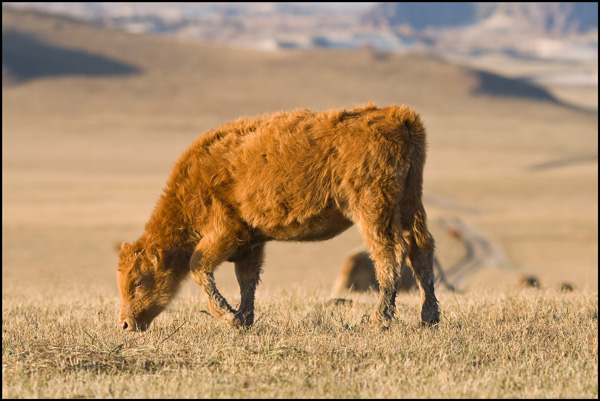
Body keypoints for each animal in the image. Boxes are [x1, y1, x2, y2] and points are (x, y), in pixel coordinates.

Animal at [117, 103, 438, 332]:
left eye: (138, 282)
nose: (125, 324)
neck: (193, 184)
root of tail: (397, 116)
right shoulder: (250, 243)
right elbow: (247, 281)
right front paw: (244, 320)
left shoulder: (225, 233)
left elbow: (199, 266)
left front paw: (230, 317)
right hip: (410, 203)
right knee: (420, 250)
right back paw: (429, 318)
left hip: (373, 209)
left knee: (389, 256)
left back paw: (380, 320)